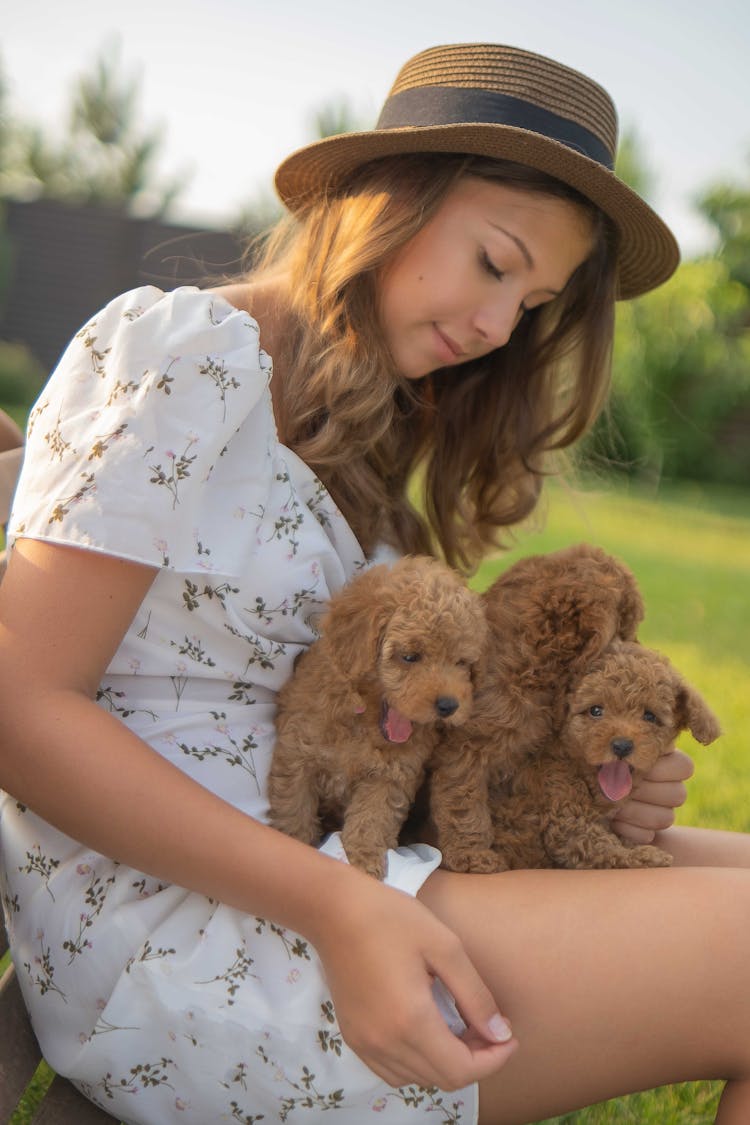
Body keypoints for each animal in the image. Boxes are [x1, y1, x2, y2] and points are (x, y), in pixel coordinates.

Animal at [266, 553, 490, 877]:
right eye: (409, 656)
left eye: (461, 662)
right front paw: (295, 843)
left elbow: (372, 818)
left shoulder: (391, 775)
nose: (449, 706)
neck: (364, 718)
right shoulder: (297, 754)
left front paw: (362, 860)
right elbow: (294, 808)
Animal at [492, 643, 719, 868]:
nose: (622, 746)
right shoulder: (567, 816)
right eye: (595, 710)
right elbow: (602, 846)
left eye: (649, 716)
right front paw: (646, 856)